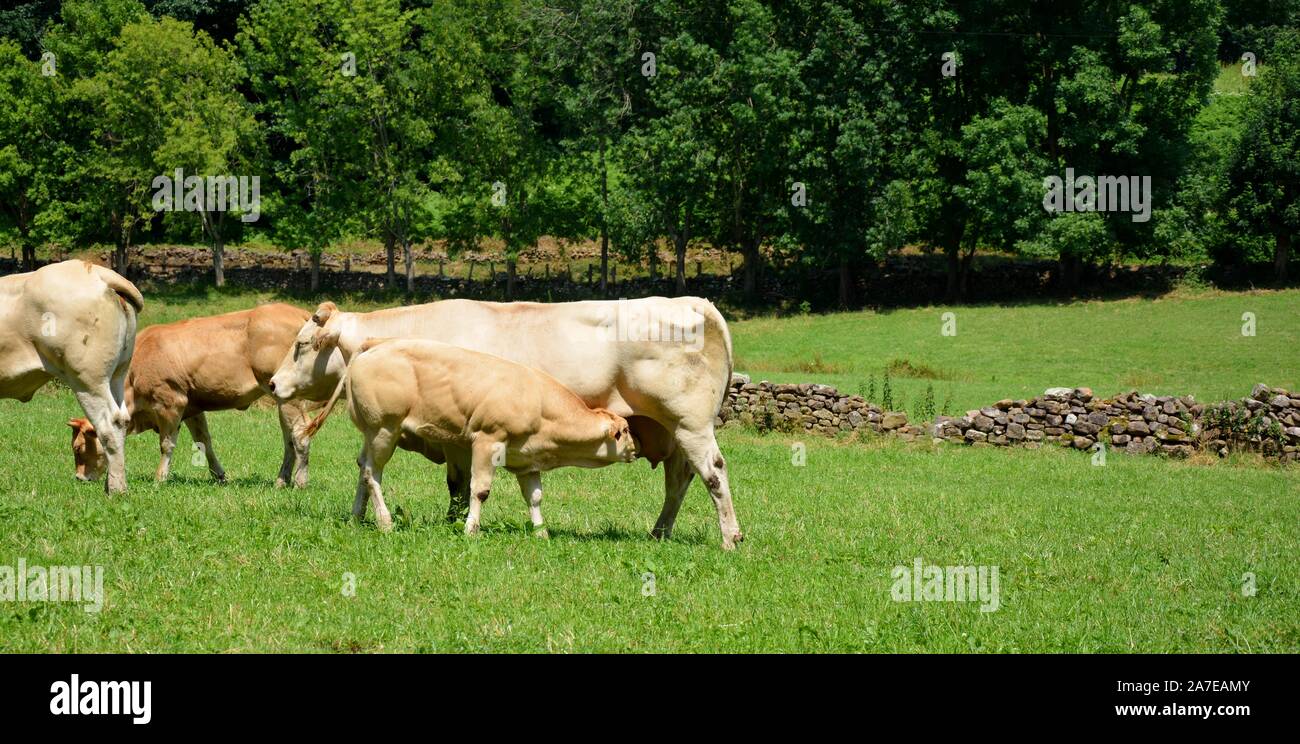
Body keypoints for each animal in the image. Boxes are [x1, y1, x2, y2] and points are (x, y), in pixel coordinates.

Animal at [1, 260, 141, 493]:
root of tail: (93, 269)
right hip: (117, 375)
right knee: (122, 420)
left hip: (88, 380)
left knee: (109, 426)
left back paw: (116, 489)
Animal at [67, 303, 318, 487]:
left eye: (78, 448)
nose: (79, 478)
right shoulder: (192, 408)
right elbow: (203, 441)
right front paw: (220, 476)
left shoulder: (171, 402)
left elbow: (166, 444)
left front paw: (160, 479)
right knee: (288, 438)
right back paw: (281, 480)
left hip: (290, 397)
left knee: (300, 434)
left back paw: (299, 482)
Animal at [338, 338, 638, 535]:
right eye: (624, 432)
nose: (635, 449)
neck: (538, 401)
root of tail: (374, 346)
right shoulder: (487, 442)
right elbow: (479, 490)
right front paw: (471, 529)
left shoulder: (527, 461)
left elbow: (535, 497)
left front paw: (540, 531)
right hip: (384, 430)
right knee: (372, 473)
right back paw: (385, 521)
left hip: (372, 434)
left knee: (362, 469)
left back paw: (357, 516)